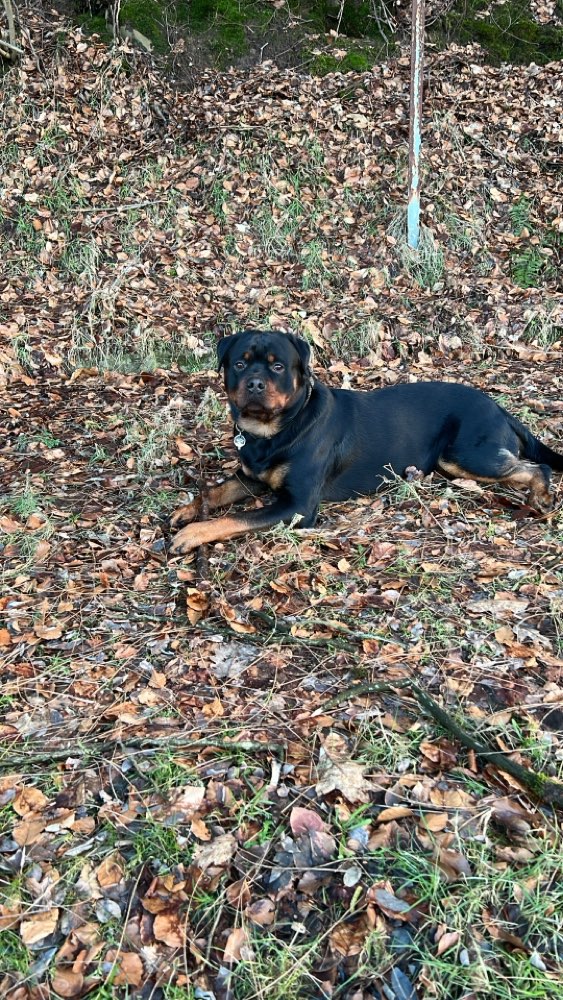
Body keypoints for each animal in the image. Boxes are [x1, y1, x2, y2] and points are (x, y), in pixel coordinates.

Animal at [169, 334, 563, 556]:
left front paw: (192, 533)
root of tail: (499, 407)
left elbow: (235, 517)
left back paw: (541, 497)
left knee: (536, 466)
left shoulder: (298, 506)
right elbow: (217, 492)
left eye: (278, 366)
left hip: (464, 455)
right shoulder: (252, 476)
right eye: (239, 364)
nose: (253, 383)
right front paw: (189, 510)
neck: (273, 431)